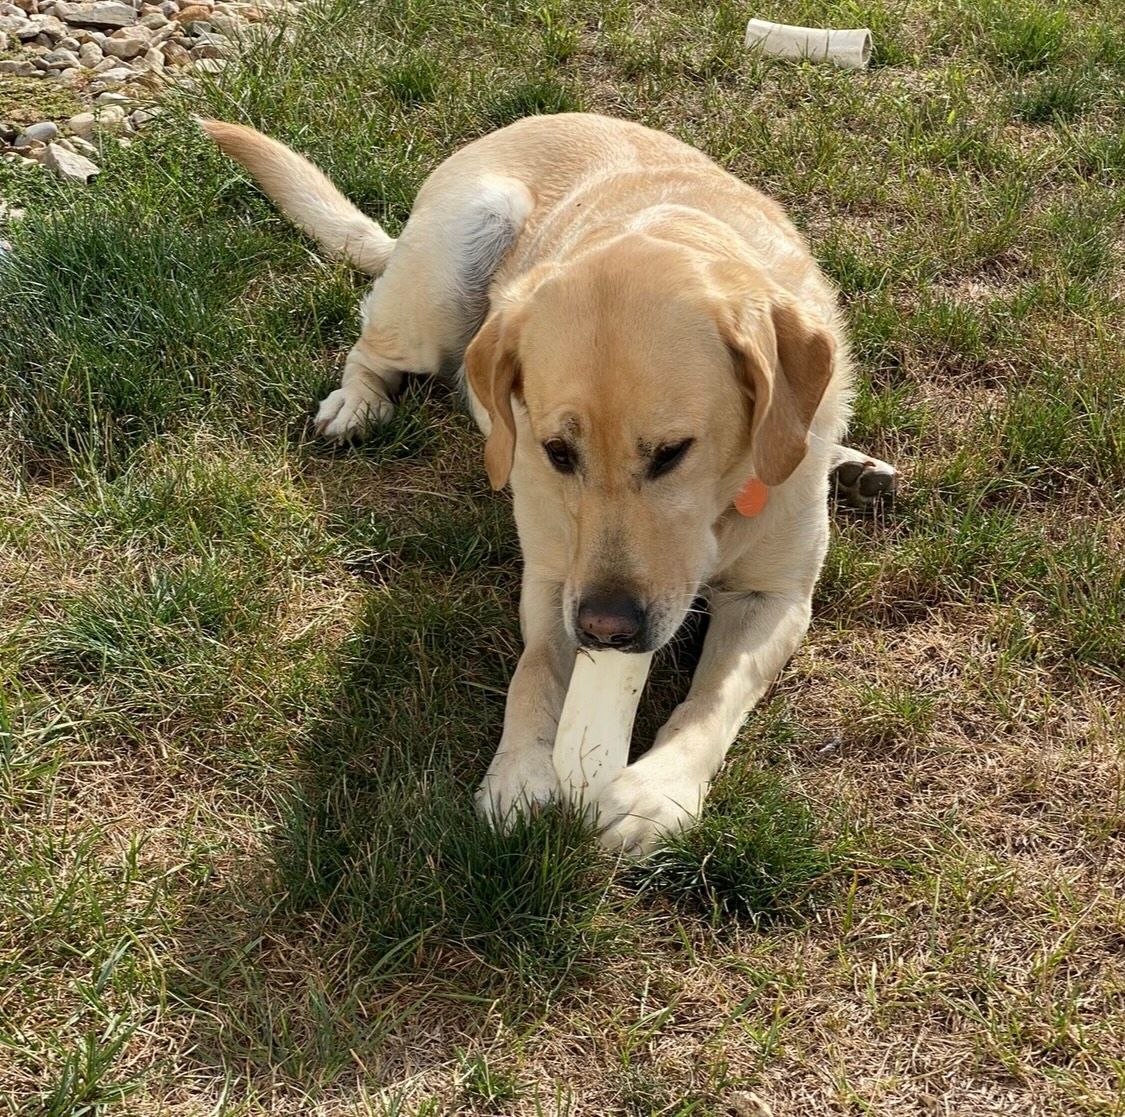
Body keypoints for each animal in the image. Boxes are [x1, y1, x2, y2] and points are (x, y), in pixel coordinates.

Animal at [200, 111, 886, 854]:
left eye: (672, 452)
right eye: (558, 452)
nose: (606, 630)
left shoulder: (775, 597)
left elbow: (713, 697)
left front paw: (656, 790)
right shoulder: (557, 578)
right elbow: (533, 671)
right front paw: (520, 771)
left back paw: (852, 466)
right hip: (448, 271)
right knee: (372, 344)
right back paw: (357, 403)